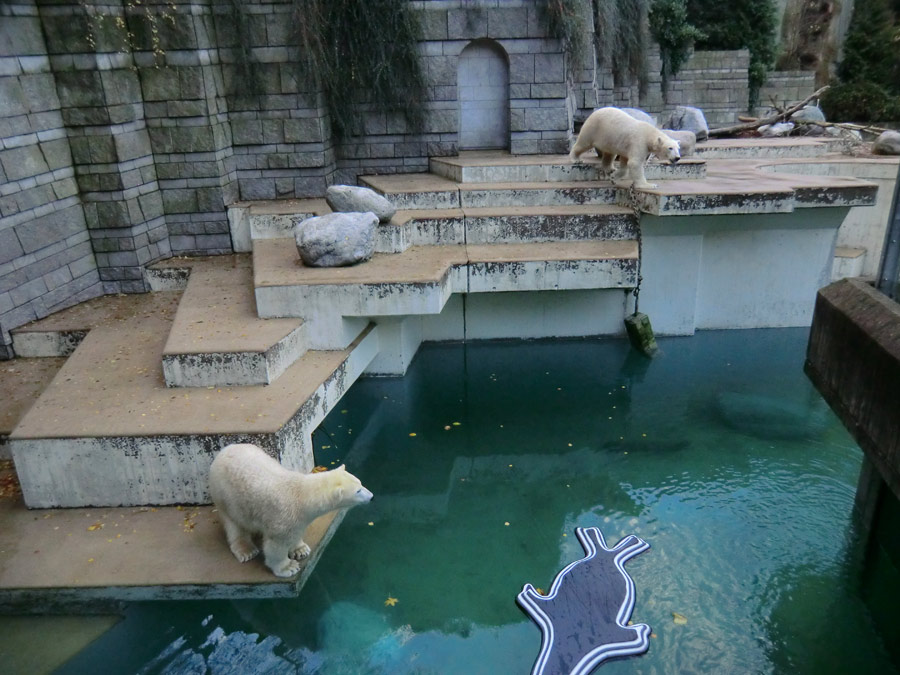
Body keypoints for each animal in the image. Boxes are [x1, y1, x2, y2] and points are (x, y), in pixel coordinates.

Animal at [208, 444, 372, 580]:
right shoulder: (282, 517)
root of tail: (223, 451)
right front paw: (288, 567)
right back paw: (246, 550)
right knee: (234, 525)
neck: (301, 495)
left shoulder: (298, 518)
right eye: (358, 491)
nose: (371, 496)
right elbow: (276, 546)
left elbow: (296, 533)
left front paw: (300, 550)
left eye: (360, 483)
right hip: (226, 497)